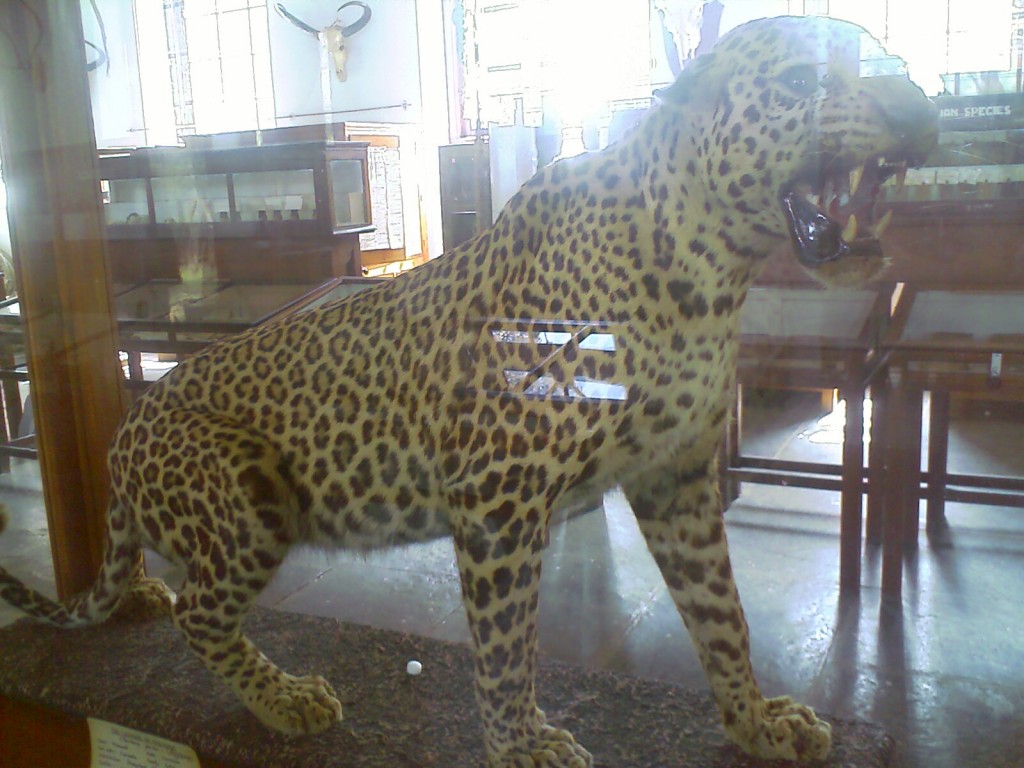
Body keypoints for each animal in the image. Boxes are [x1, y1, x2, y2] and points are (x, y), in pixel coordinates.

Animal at [0, 15, 937, 768]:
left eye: (893, 59)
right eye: (806, 80)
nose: (917, 103)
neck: (712, 274)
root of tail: (124, 432)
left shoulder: (676, 477)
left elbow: (721, 614)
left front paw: (756, 721)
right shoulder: (498, 495)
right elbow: (506, 643)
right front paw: (522, 744)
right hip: (244, 501)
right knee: (199, 614)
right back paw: (286, 696)